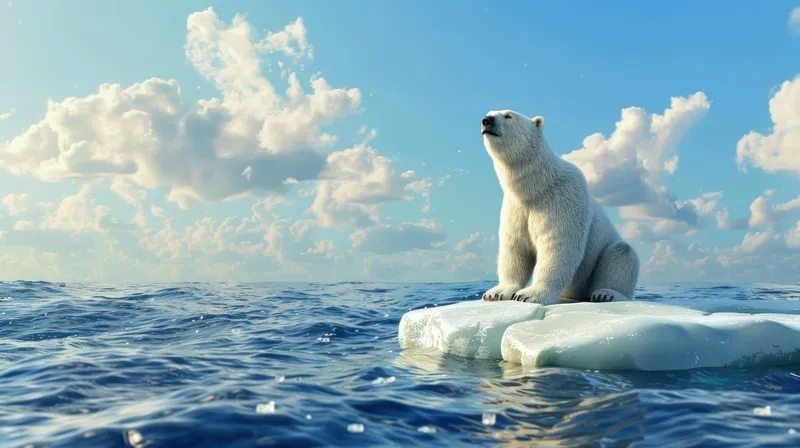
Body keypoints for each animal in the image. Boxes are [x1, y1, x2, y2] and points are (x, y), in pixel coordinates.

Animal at [479, 109, 639, 305]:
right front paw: (496, 292)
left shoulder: (563, 199)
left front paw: (529, 294)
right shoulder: (515, 207)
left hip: (606, 251)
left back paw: (606, 293)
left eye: (509, 115)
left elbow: (557, 245)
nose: (487, 121)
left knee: (622, 254)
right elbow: (515, 246)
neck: (538, 187)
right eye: (490, 112)